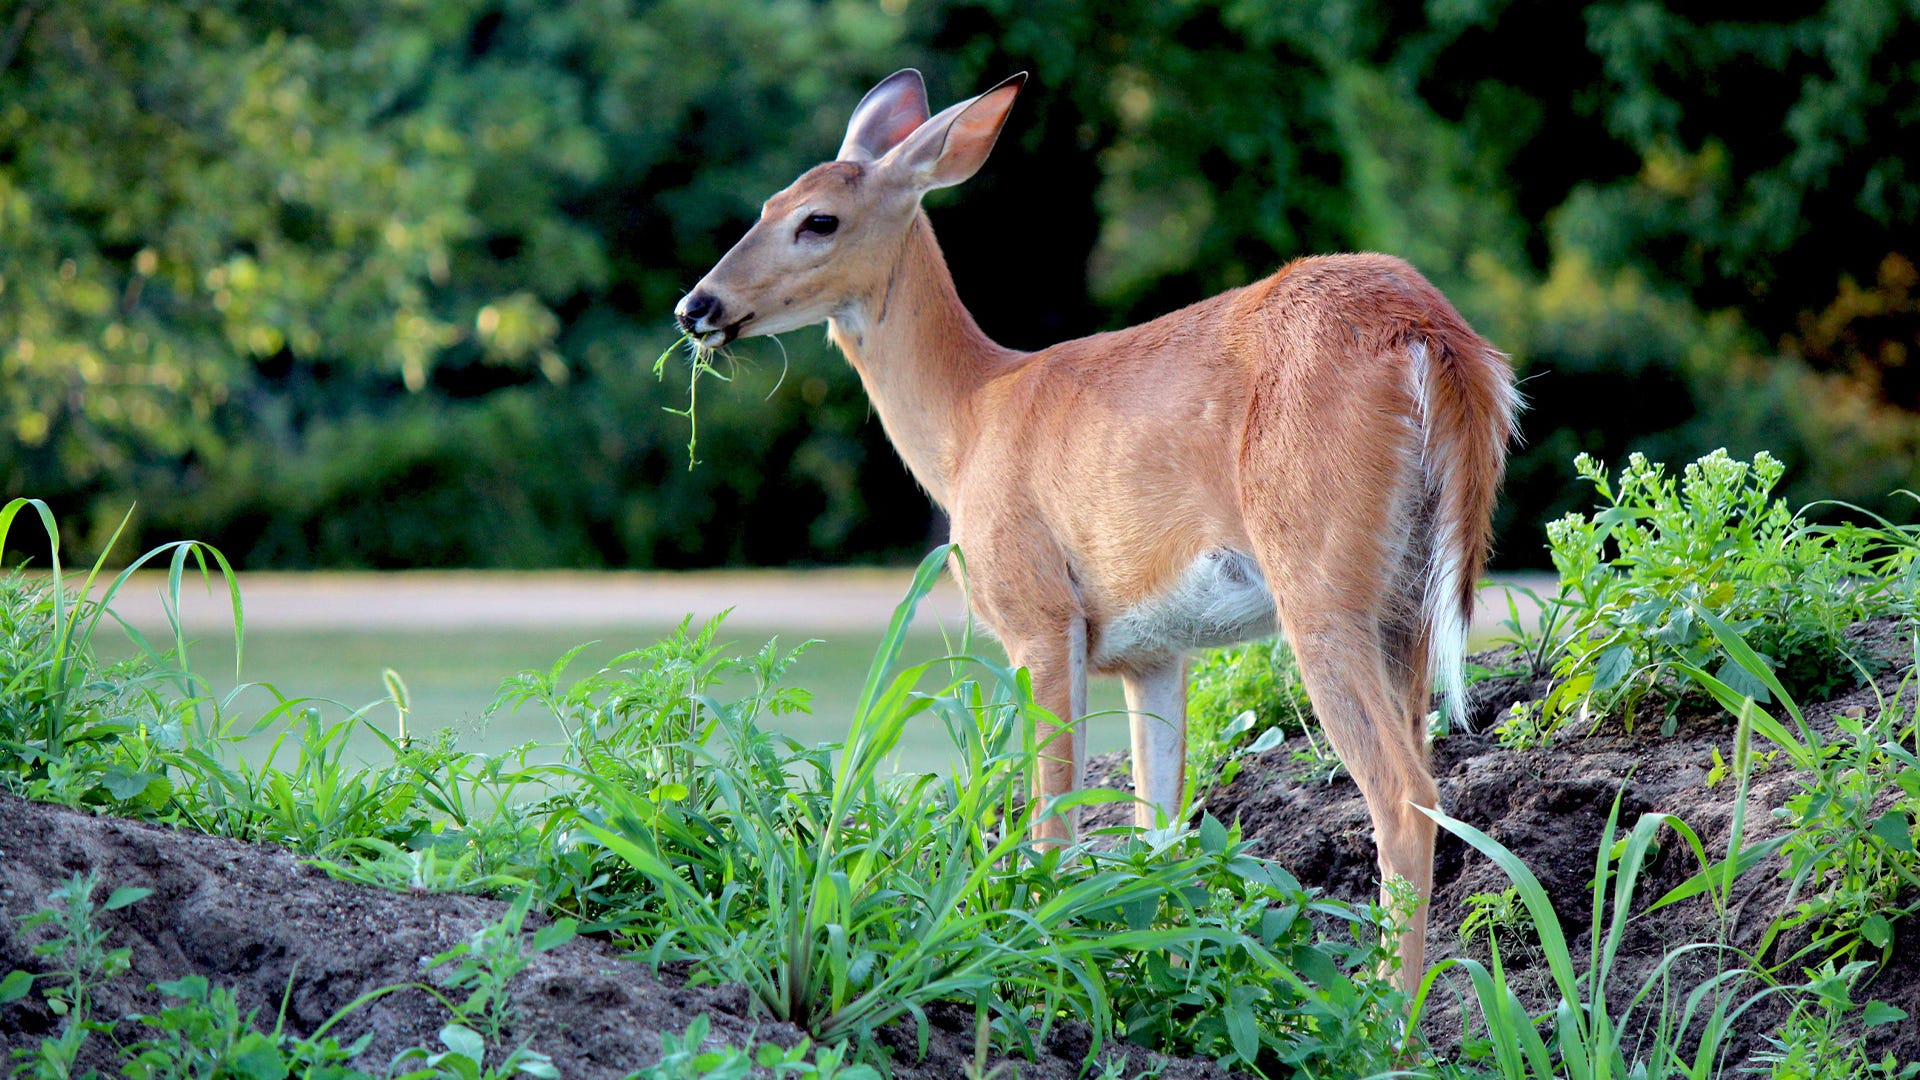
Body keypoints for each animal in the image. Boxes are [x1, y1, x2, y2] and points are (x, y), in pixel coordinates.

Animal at [675, 67, 1512, 983]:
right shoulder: (1156, 651)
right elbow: (1158, 829)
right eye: (767, 202)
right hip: (1408, 593)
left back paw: (1384, 1011)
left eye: (818, 219)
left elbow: (1054, 825)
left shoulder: (1039, 612)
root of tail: (1434, 337)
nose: (696, 305)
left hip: (1320, 576)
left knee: (1403, 794)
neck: (968, 420)